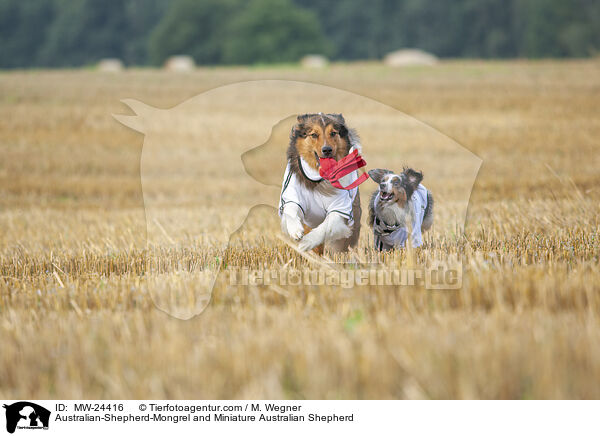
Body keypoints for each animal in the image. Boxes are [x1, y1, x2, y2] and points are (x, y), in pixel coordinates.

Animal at [280, 114, 364, 254]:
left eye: (333, 133)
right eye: (314, 134)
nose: (327, 150)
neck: (319, 178)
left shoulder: (341, 207)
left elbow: (327, 226)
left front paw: (307, 242)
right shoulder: (292, 194)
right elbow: (291, 208)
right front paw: (295, 231)